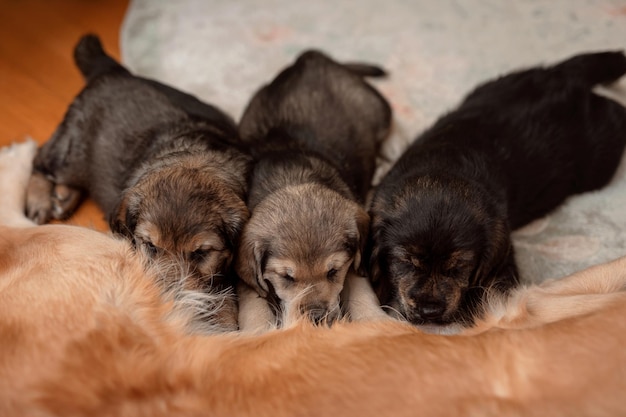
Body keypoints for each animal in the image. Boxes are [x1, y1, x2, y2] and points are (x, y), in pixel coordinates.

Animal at [26, 33, 251, 332]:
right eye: (151, 246)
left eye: (201, 253)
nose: (171, 300)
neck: (193, 156)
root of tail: (113, 71)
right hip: (71, 152)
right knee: (40, 156)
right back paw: (40, 199)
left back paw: (63, 196)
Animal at [234, 49, 390, 328]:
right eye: (287, 277)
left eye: (333, 271)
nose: (316, 318)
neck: (293, 178)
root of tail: (310, 57)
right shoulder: (248, 279)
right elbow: (253, 303)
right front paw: (259, 331)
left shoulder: (355, 262)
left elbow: (360, 290)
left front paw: (374, 321)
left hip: (378, 109)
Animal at [368, 50, 626, 328]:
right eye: (405, 262)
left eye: (459, 267)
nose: (430, 311)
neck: (443, 162)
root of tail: (560, 75)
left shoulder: (503, 260)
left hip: (598, 157)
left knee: (616, 112)